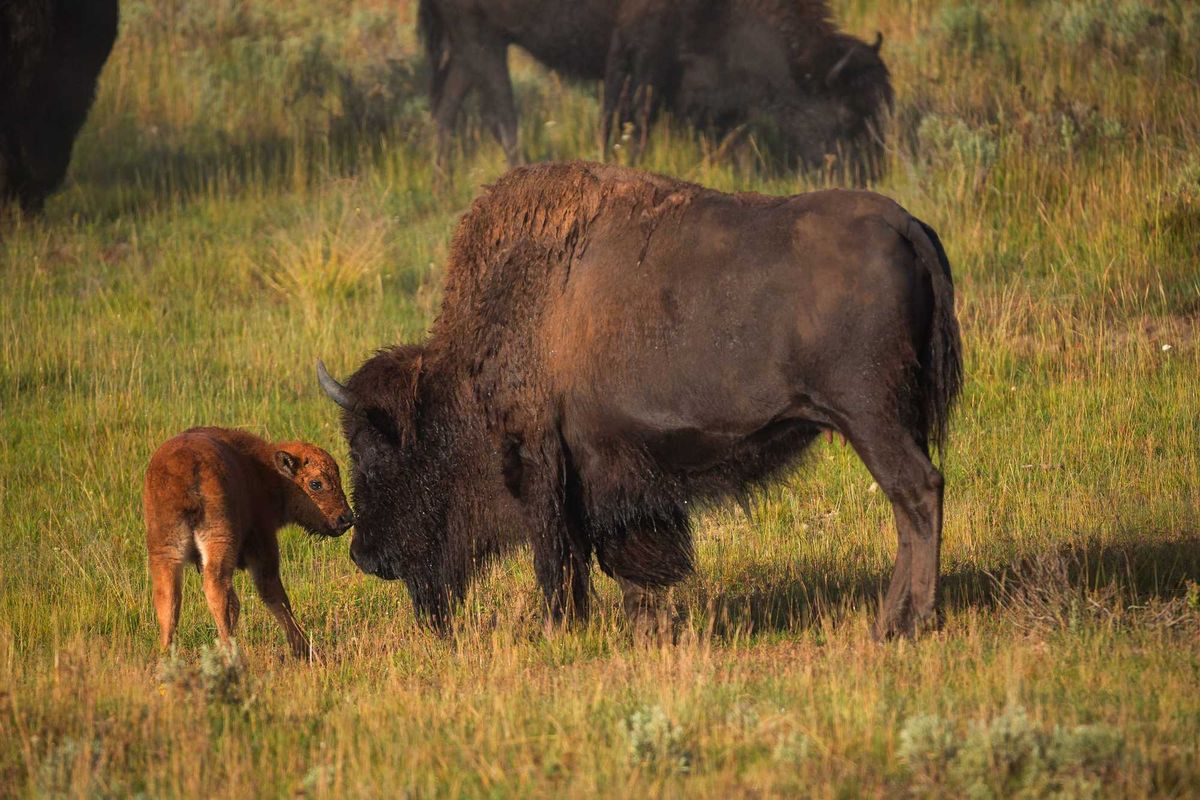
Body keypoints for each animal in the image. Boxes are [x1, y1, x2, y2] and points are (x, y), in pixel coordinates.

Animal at [319, 161, 961, 639]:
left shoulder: (549, 467)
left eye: (376, 450)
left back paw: (901, 624)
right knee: (913, 500)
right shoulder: (612, 476)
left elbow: (564, 562)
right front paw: (641, 626)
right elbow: (620, 557)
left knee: (917, 493)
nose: (363, 555)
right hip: (895, 418)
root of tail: (903, 222)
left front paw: (562, 630)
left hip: (869, 418)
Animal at [419, 0, 892, 181]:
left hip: (475, 45)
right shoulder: (638, 58)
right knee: (502, 114)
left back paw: (442, 179)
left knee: (446, 109)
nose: (873, 174)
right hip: (482, 38)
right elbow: (628, 122)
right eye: (846, 116)